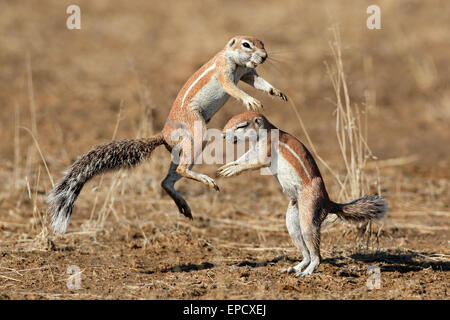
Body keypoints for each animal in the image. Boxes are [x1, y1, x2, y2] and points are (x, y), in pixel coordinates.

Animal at [48, 36, 288, 234]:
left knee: (167, 181)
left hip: (181, 150)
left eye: (263, 43)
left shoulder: (246, 73)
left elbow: (258, 81)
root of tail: (163, 135)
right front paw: (251, 100)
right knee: (182, 169)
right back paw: (207, 181)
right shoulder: (224, 72)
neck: (234, 60)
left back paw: (184, 205)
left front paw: (276, 92)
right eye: (246, 44)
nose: (265, 56)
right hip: (197, 131)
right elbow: (234, 88)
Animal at [218, 112, 386, 276]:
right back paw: (294, 268)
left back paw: (307, 272)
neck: (264, 133)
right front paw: (228, 166)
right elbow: (244, 158)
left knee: (317, 256)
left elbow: (258, 163)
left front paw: (233, 170)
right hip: (293, 220)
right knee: (305, 252)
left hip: (309, 215)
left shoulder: (267, 147)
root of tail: (328, 202)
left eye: (241, 125)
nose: (223, 135)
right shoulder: (253, 150)